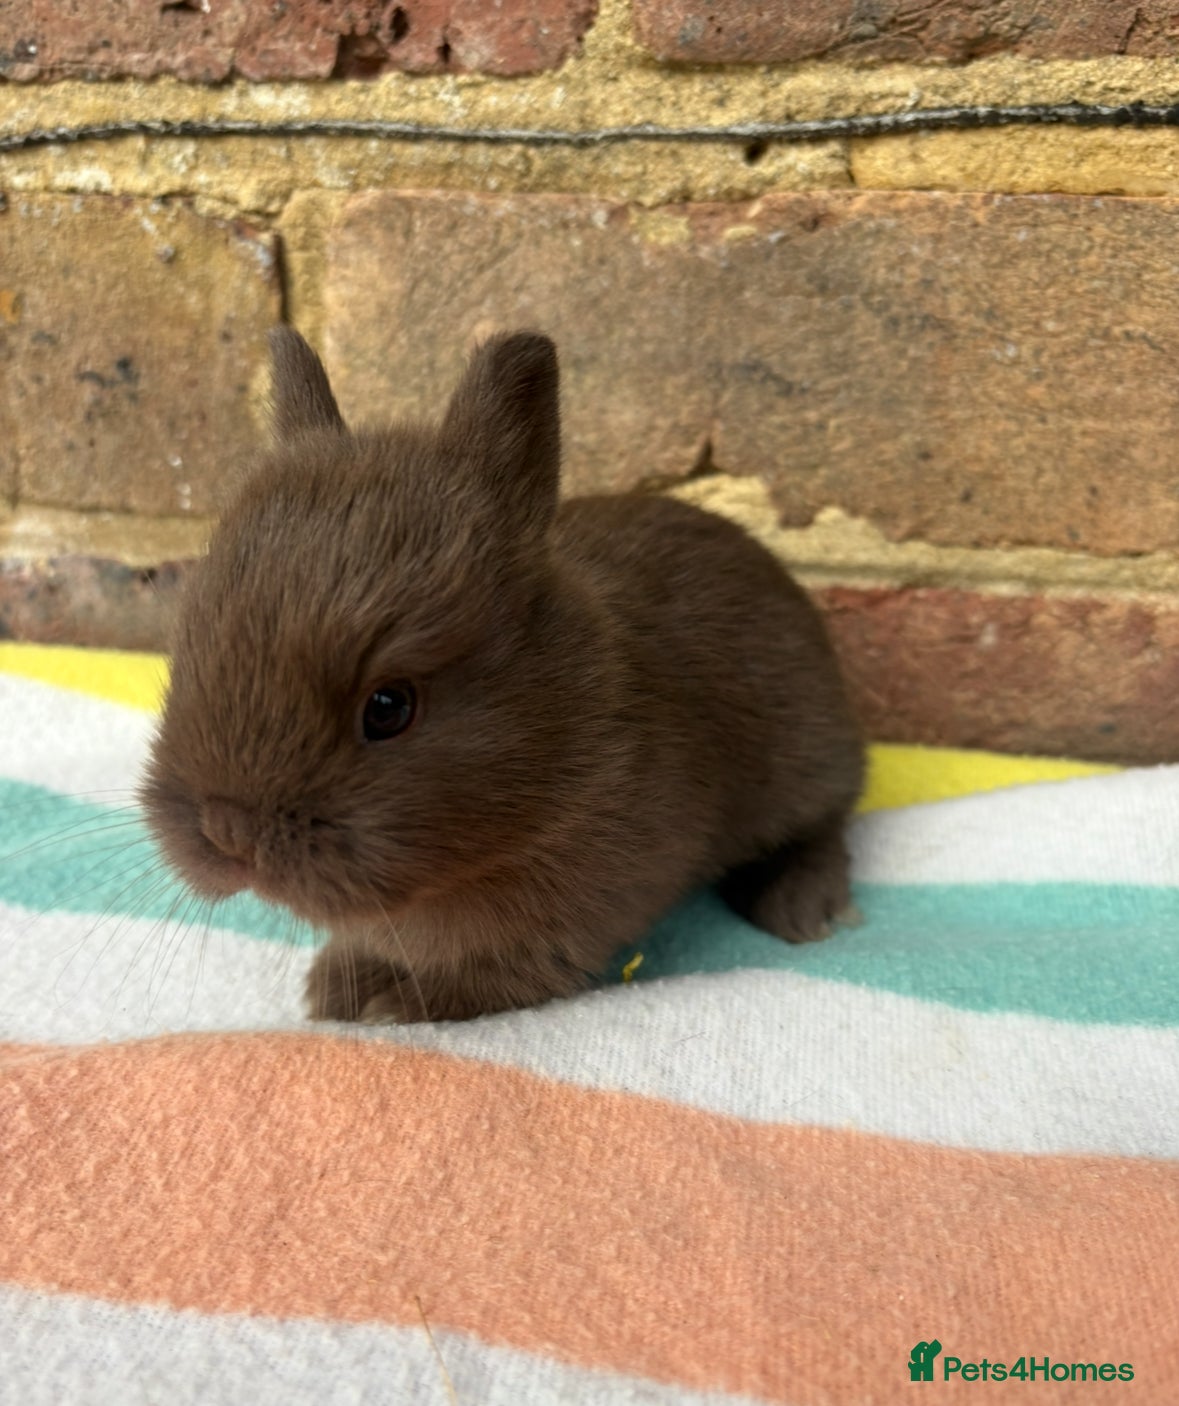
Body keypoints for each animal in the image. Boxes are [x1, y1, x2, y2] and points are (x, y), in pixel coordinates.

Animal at [140, 327, 864, 1023]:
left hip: (807, 759)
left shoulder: (570, 919)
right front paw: (336, 987)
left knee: (829, 819)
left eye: (388, 707)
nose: (227, 833)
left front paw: (394, 1004)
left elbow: (509, 975)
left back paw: (802, 909)